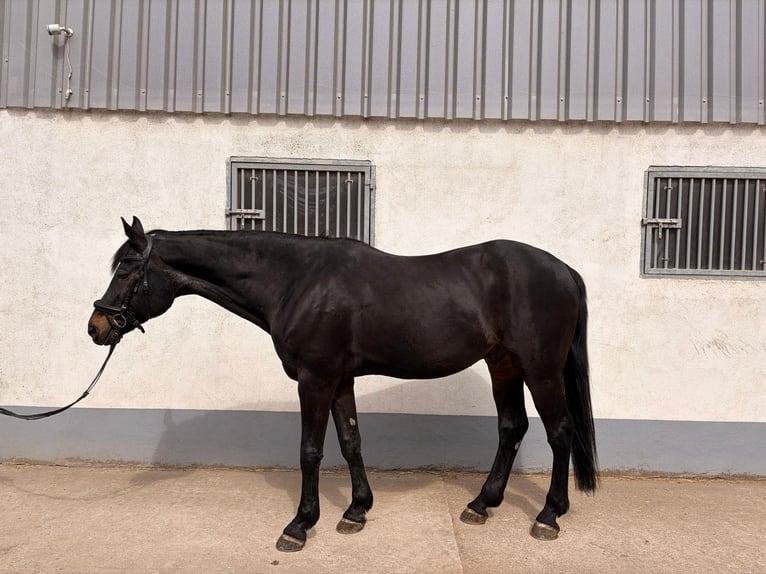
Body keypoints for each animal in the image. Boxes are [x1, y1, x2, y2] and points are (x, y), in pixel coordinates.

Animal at [88, 217, 598, 552]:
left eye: (127, 269)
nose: (96, 327)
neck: (296, 281)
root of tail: (564, 270)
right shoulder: (340, 379)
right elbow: (351, 441)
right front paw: (356, 511)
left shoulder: (314, 379)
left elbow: (310, 450)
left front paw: (299, 526)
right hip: (503, 365)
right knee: (512, 428)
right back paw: (481, 504)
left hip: (540, 370)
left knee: (560, 432)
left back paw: (549, 516)